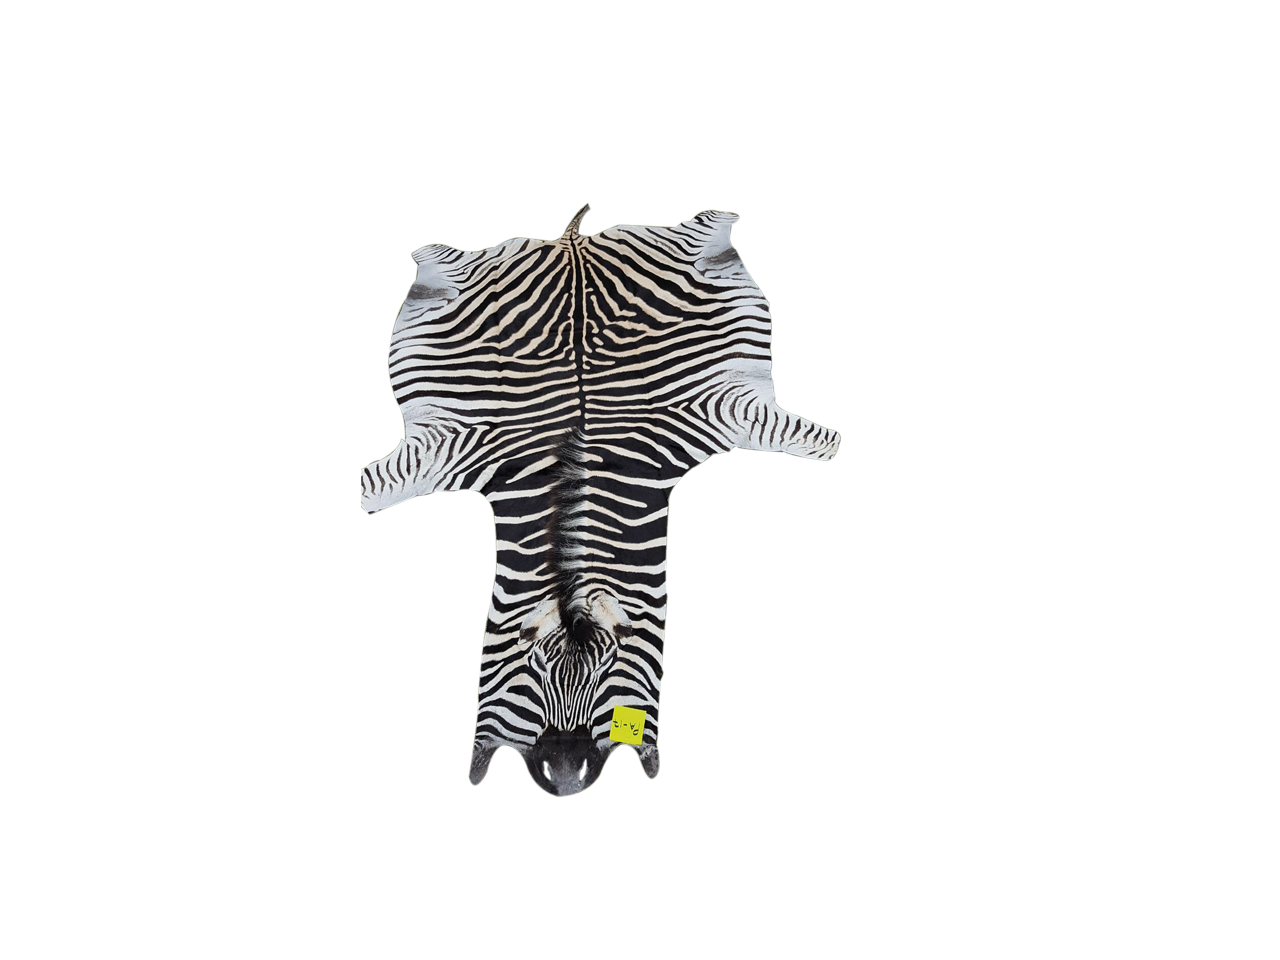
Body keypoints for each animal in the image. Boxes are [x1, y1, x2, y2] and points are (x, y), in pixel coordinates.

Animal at [359, 205, 839, 796]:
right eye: (532, 667)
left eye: (612, 667)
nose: (565, 778)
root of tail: (573, 243)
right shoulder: (438, 450)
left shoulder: (728, 413)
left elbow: (821, 441)